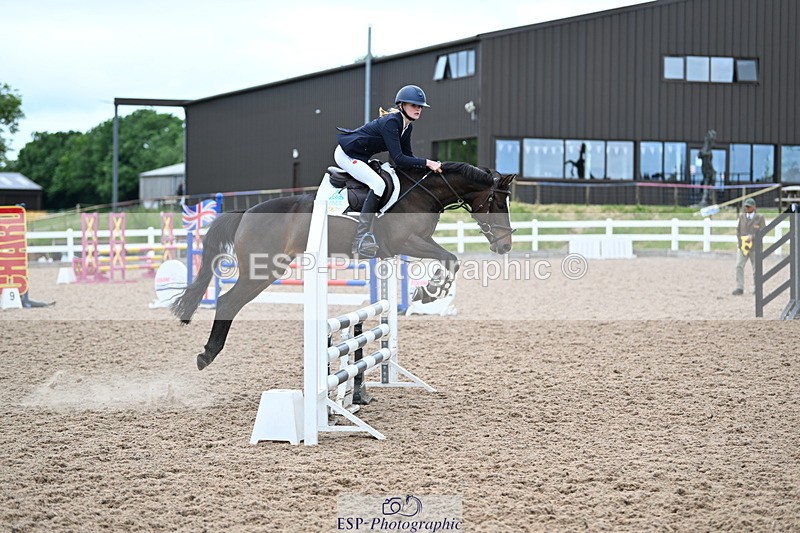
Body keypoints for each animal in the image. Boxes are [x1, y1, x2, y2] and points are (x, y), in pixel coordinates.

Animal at [172, 162, 517, 370]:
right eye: (498, 203)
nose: (505, 245)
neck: (422, 193)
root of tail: (246, 212)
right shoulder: (409, 242)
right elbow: (450, 260)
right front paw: (430, 292)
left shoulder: (410, 245)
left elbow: (450, 261)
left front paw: (431, 292)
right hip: (263, 271)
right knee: (227, 302)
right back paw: (207, 354)